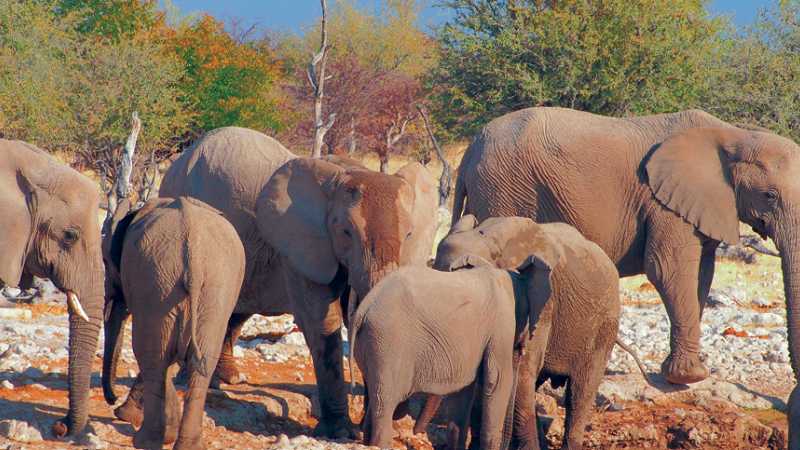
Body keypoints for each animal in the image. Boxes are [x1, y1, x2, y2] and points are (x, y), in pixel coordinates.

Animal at [103, 196, 245, 450]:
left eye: (105, 262)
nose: (113, 398)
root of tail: (194, 251)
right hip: (212, 291)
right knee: (201, 363)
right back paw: (188, 445)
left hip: (156, 281)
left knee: (151, 358)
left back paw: (144, 441)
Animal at [350, 252, 559, 450]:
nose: (417, 432)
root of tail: (364, 306)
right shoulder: (501, 324)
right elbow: (497, 380)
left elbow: (464, 390)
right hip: (387, 341)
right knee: (385, 403)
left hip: (372, 342)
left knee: (376, 399)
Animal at [452, 107, 800, 393]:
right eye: (769, 195)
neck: (735, 134)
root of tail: (471, 148)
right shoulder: (664, 204)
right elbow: (669, 270)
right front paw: (688, 376)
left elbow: (702, 274)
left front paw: (688, 370)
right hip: (504, 190)